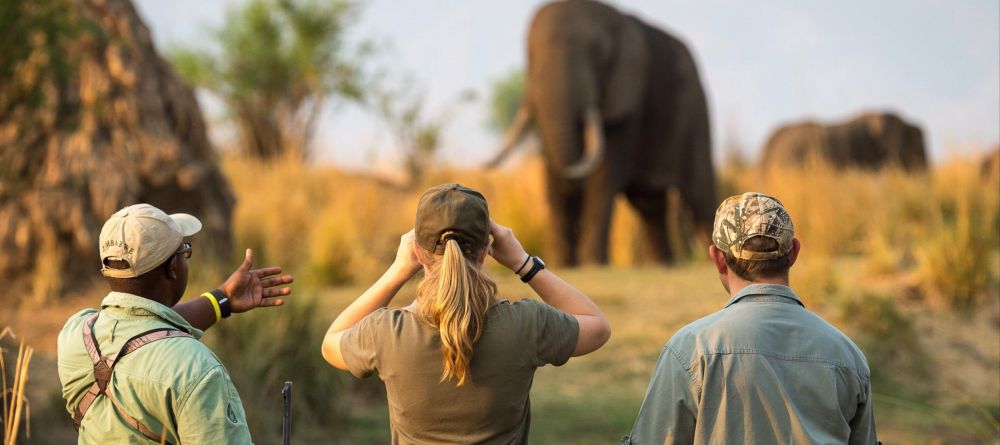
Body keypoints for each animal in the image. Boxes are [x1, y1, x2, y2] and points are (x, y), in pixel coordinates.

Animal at [486, 0, 716, 266]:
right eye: (530, 52)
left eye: (598, 55)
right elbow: (551, 168)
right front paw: (565, 264)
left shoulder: (627, 101)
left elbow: (603, 175)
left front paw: (592, 264)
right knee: (650, 204)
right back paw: (662, 265)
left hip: (697, 111)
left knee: (700, 196)